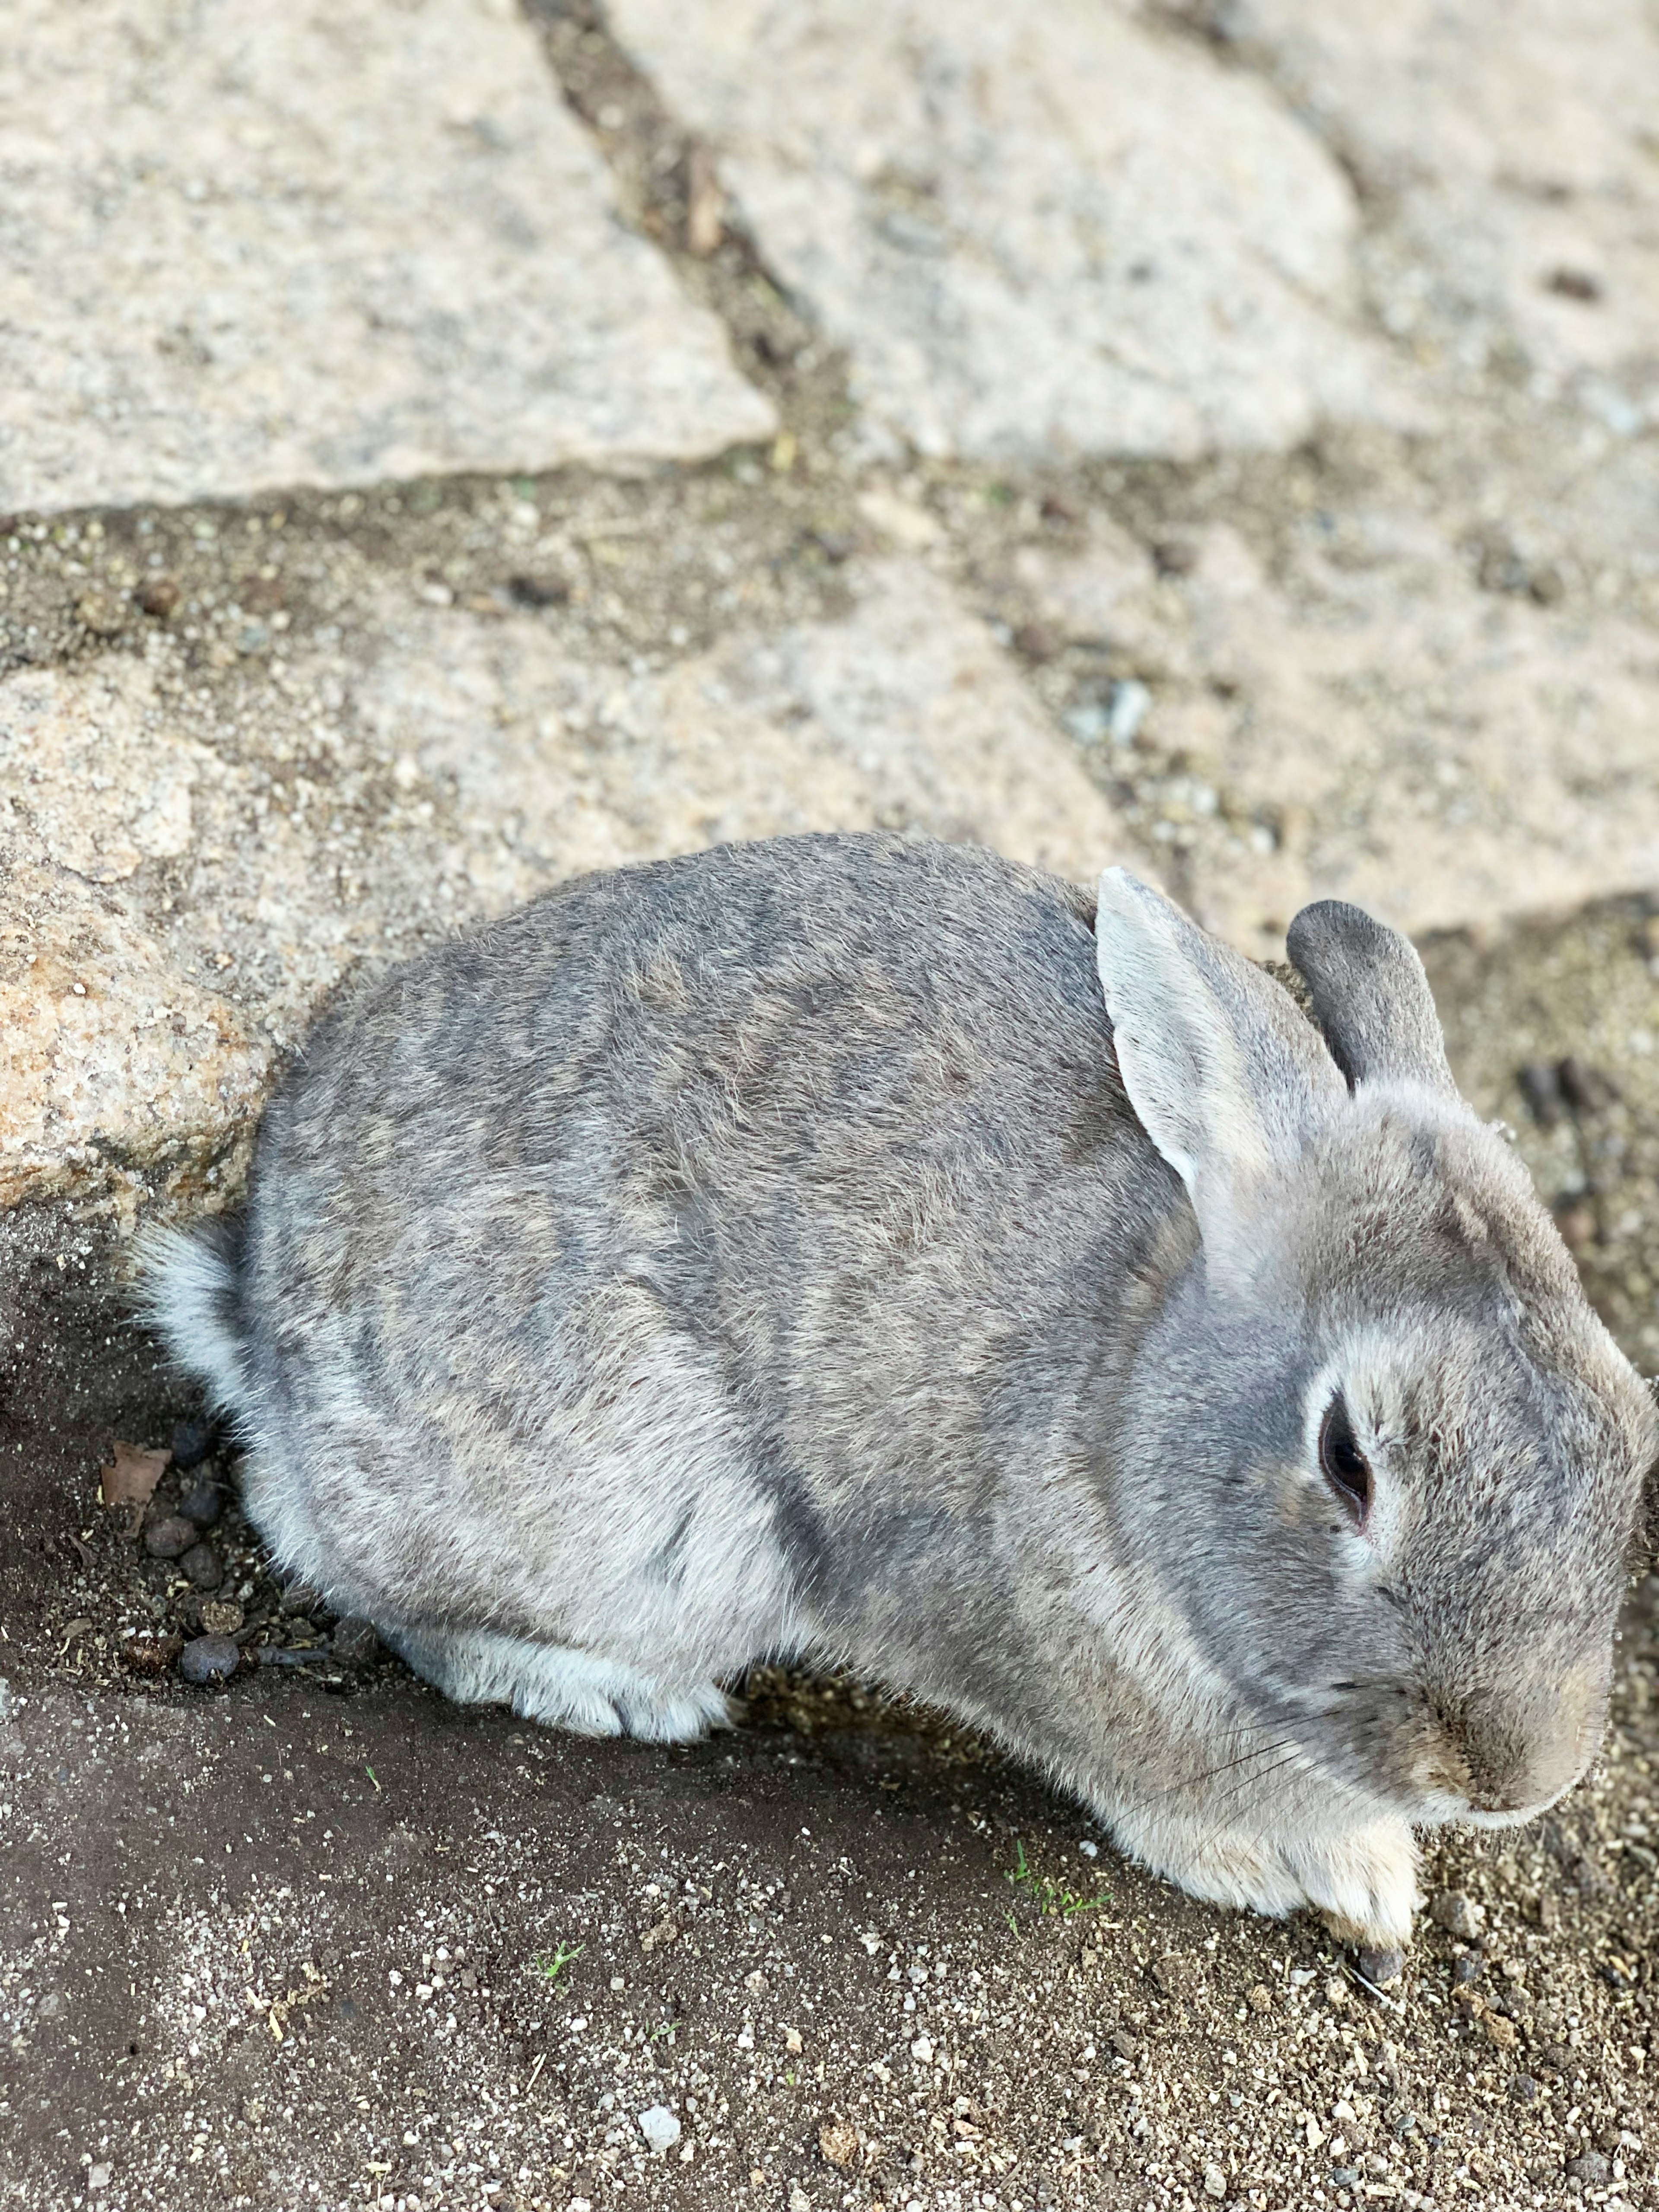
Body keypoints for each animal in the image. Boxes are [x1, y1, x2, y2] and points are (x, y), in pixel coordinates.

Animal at [149, 832, 1654, 1955]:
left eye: (1633, 1434)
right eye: (1348, 1456)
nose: (1519, 1780)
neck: (1125, 1379)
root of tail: (253, 1298)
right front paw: (1329, 1866)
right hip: (627, 1518)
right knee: (357, 1568)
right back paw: (618, 1696)